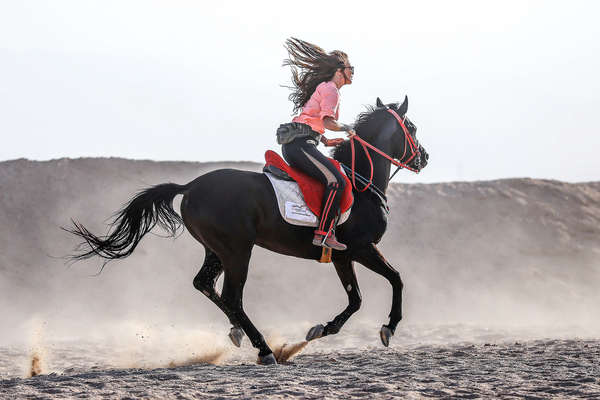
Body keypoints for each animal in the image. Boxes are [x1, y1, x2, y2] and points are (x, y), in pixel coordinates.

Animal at [68, 95, 428, 364]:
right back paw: (265, 349)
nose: (423, 157)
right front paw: (383, 328)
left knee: (205, 285)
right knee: (232, 296)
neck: (361, 182)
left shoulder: (346, 255)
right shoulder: (358, 249)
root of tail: (191, 186)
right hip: (237, 250)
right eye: (411, 127)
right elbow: (381, 287)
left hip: (215, 249)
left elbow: (368, 293)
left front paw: (329, 330)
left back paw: (238, 333)